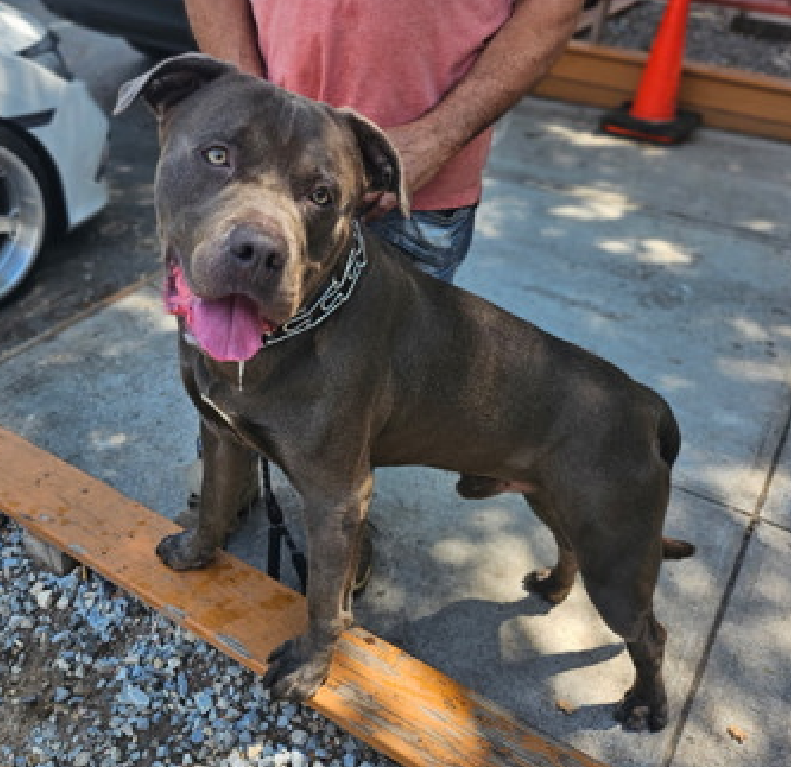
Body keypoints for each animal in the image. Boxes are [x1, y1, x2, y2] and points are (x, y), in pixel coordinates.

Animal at [116, 54, 694, 732]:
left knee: (649, 633)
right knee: (569, 547)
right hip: (556, 500)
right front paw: (196, 551)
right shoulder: (222, 434)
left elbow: (324, 597)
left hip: (618, 548)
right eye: (216, 155)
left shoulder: (336, 495)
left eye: (322, 196)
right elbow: (212, 501)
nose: (258, 251)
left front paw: (309, 669)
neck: (290, 333)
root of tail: (648, 402)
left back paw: (647, 704)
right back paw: (553, 585)